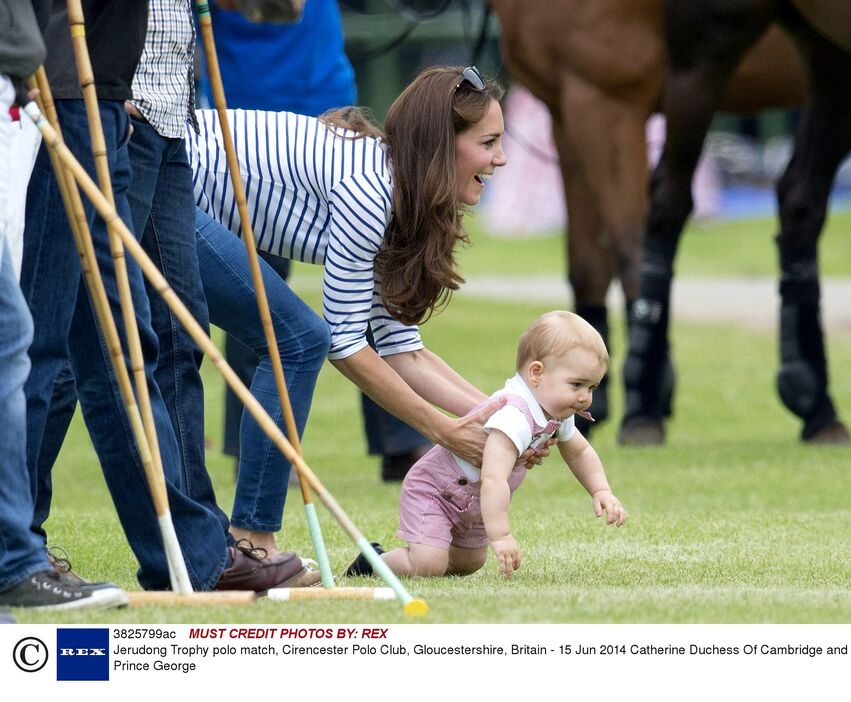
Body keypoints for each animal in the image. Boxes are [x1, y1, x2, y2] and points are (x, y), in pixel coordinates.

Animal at [624, 0, 848, 446]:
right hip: (707, 45)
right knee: (668, 201)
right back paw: (642, 406)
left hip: (831, 53)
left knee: (800, 198)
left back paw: (818, 405)